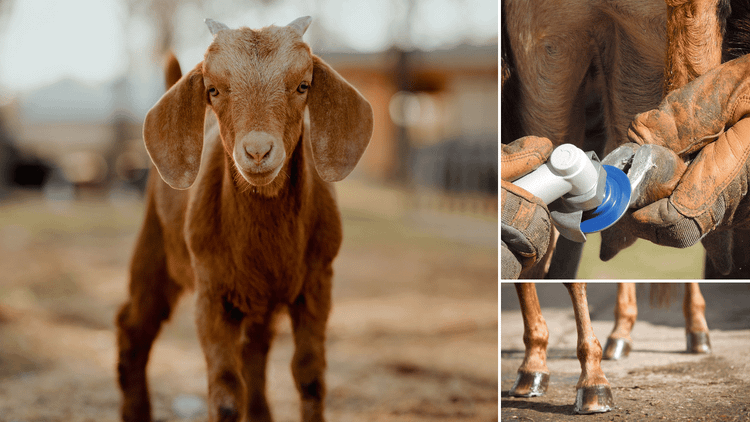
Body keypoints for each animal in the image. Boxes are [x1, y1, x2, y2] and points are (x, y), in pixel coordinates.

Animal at [115, 17, 373, 422]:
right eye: (214, 89)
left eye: (303, 85)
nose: (257, 151)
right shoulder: (211, 293)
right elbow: (224, 389)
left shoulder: (318, 283)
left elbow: (310, 375)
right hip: (154, 249)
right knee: (134, 325)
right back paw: (136, 411)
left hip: (259, 302)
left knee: (255, 352)